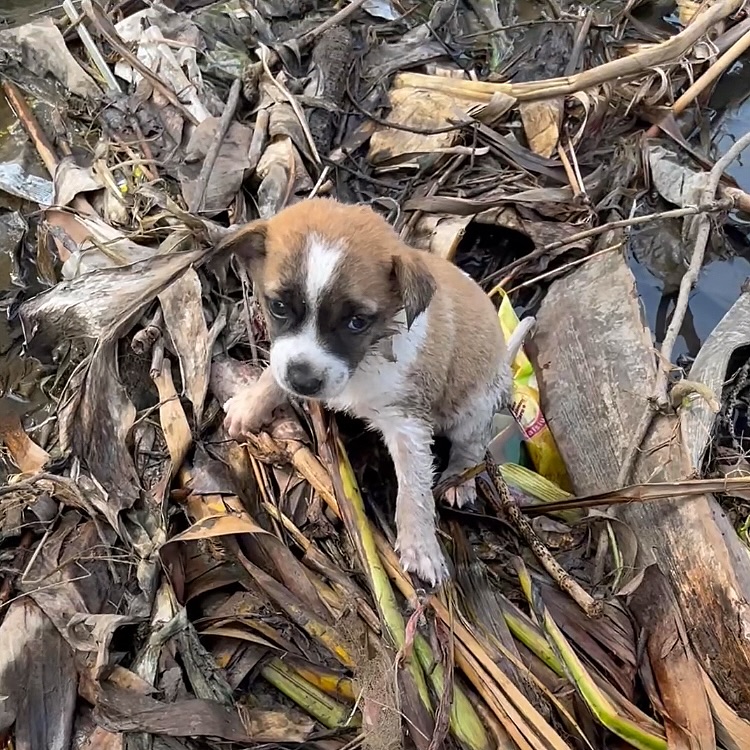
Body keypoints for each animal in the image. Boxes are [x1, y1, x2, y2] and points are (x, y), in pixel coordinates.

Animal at [220, 198, 532, 588]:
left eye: (357, 322)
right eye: (278, 306)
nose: (304, 383)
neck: (369, 357)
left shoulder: (408, 425)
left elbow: (414, 490)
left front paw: (420, 546)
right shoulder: (286, 359)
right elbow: (274, 374)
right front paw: (251, 405)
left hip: (475, 407)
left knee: (472, 444)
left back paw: (460, 478)